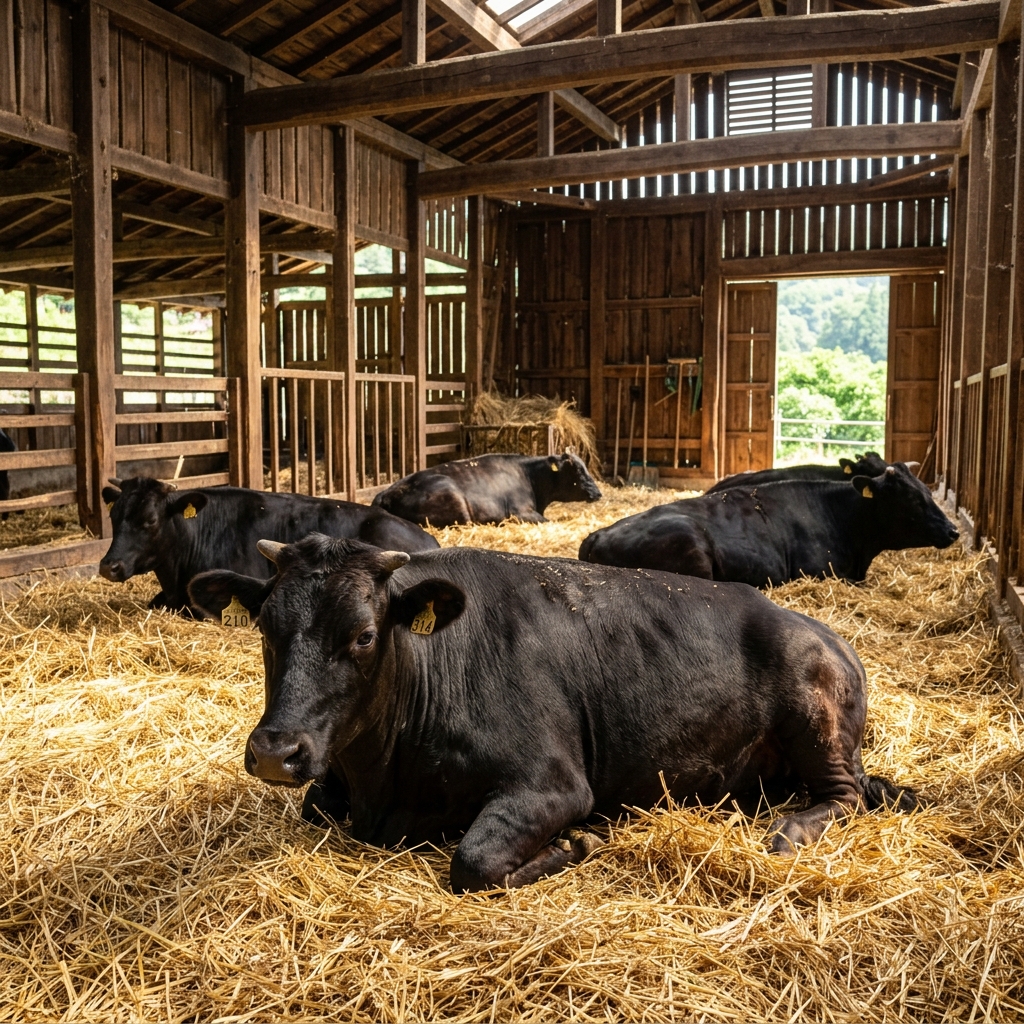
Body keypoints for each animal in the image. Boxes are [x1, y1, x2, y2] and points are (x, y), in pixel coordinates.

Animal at [188, 534, 917, 893]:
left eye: (364, 635)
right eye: (265, 627)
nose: (276, 751)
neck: (382, 781)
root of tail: (827, 633)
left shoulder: (554, 784)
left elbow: (474, 863)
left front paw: (578, 843)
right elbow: (314, 806)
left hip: (815, 719)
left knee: (846, 795)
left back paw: (789, 831)